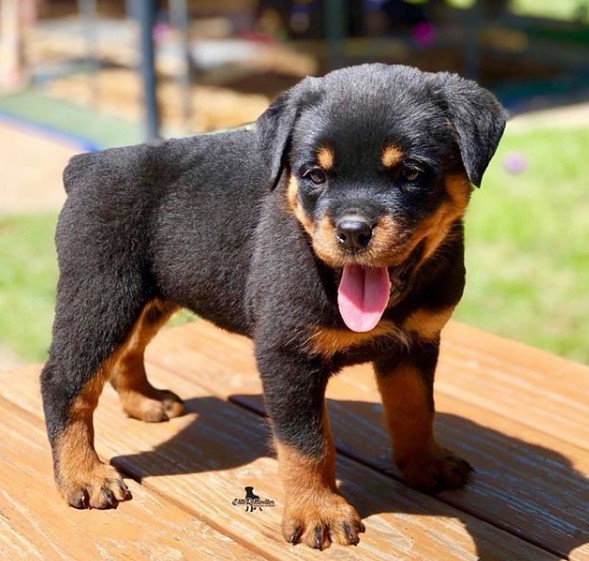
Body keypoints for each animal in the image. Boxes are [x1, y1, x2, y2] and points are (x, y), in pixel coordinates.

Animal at [41, 63, 506, 548]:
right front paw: (318, 510)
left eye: (412, 173)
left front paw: (425, 464)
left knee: (127, 352)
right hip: (101, 294)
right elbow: (307, 443)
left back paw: (144, 401)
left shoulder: (416, 344)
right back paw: (83, 475)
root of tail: (87, 165)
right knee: (65, 382)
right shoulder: (286, 356)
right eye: (314, 175)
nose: (352, 231)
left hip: (152, 295)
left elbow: (416, 409)